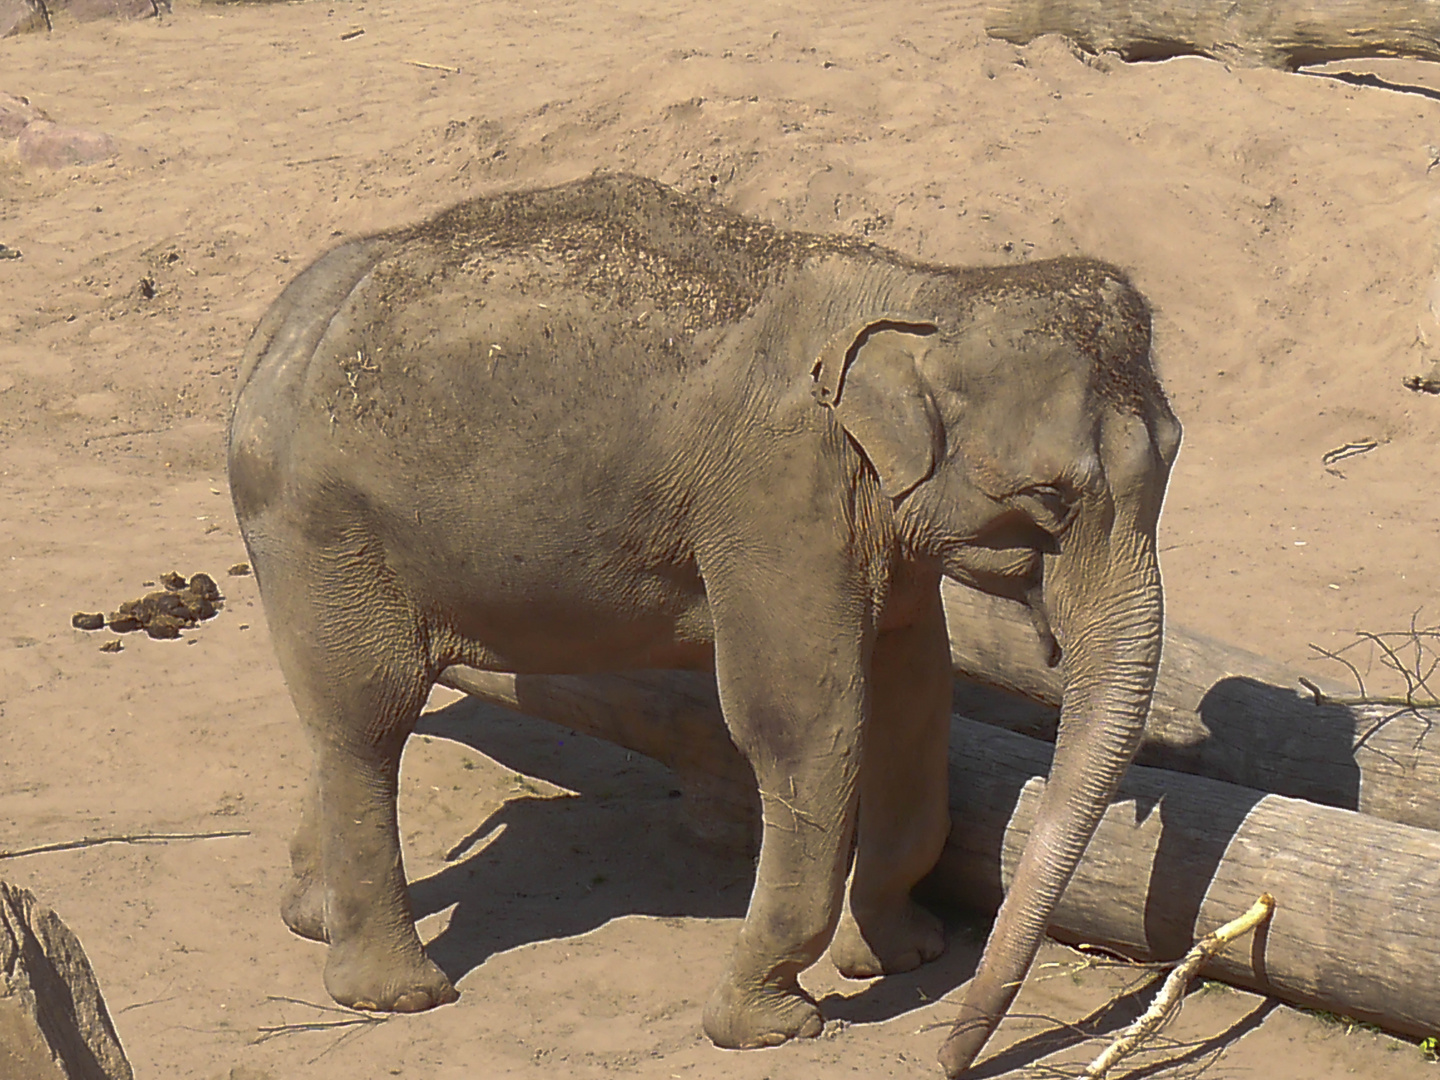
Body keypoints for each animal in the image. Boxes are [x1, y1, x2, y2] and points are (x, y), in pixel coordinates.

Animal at [227, 173, 1180, 1077]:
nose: (945, 1059)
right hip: (323, 527)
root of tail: (278, 329)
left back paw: (311, 916)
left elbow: (917, 696)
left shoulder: (880, 533)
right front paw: (769, 1025)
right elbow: (806, 722)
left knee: (342, 721)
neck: (929, 288)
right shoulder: (777, 505)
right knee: (370, 716)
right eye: (1048, 497)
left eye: (1172, 456)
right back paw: (397, 992)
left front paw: (899, 956)